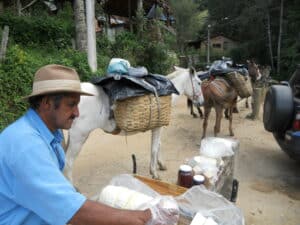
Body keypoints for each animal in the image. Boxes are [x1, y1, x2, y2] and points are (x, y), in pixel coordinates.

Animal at [63, 67, 204, 181]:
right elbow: (154, 148)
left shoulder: (157, 127)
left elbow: (158, 145)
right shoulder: (158, 127)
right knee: (68, 163)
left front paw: (160, 164)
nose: (202, 102)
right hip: (79, 136)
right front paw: (154, 173)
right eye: (199, 82)